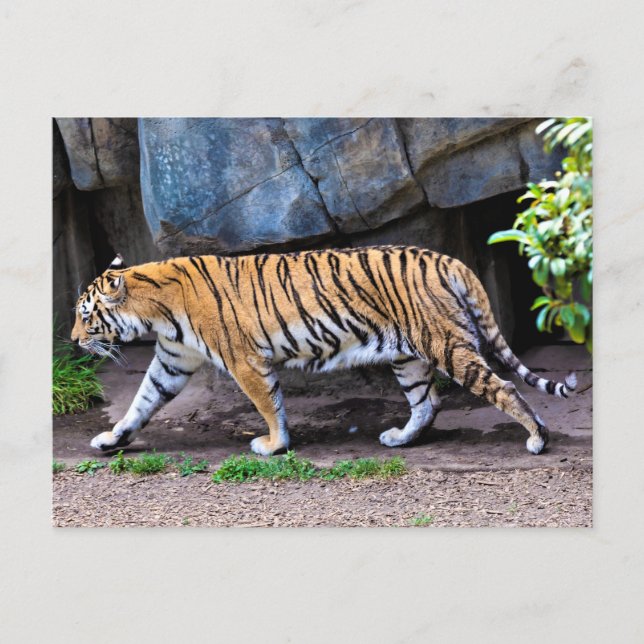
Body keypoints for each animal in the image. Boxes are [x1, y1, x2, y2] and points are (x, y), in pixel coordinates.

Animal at [71, 246, 576, 457]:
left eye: (85, 314)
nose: (73, 339)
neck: (153, 310)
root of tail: (448, 259)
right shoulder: (172, 361)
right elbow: (141, 402)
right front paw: (112, 439)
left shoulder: (244, 361)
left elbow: (268, 405)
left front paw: (274, 446)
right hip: (408, 356)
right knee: (426, 403)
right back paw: (400, 438)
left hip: (446, 345)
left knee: (502, 386)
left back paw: (538, 438)